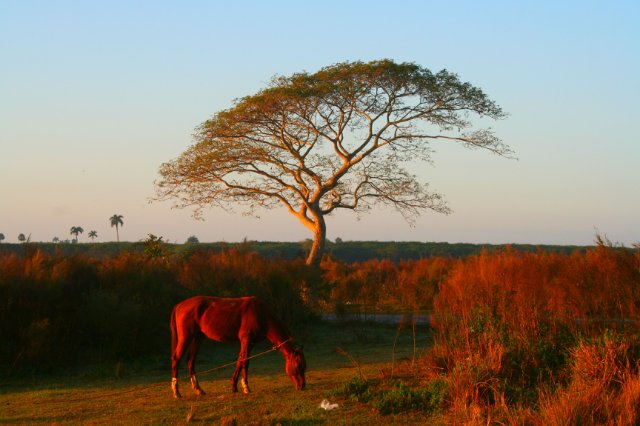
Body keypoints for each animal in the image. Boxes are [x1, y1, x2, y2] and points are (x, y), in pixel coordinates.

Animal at [170, 294, 304, 398]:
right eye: (298, 366)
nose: (302, 386)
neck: (260, 314)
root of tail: (180, 305)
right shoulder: (246, 340)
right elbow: (245, 362)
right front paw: (246, 387)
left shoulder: (250, 343)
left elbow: (240, 361)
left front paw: (234, 386)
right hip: (186, 337)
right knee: (176, 359)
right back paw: (176, 392)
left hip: (197, 338)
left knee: (190, 362)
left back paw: (199, 390)